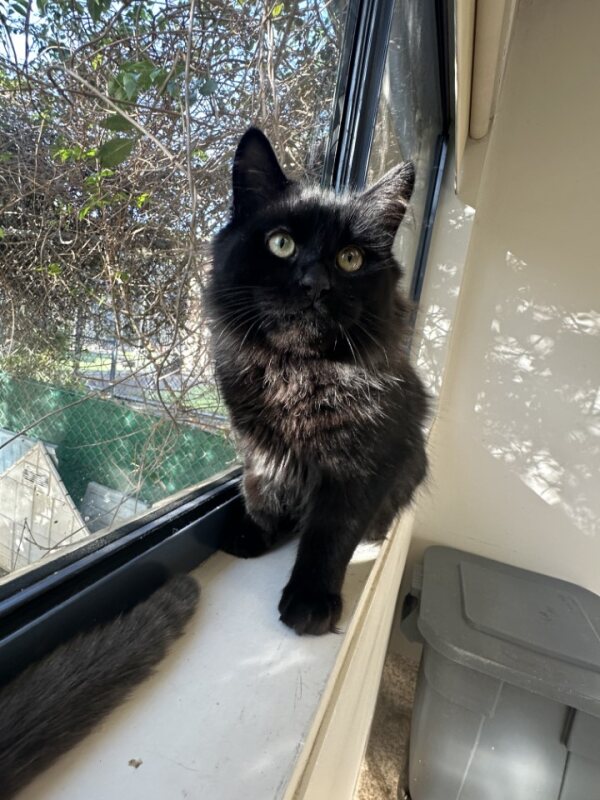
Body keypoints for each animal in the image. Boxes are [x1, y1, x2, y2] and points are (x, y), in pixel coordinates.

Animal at [208, 128, 428, 635]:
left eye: (349, 259)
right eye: (281, 244)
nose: (314, 284)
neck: (298, 372)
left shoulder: (365, 464)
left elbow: (332, 535)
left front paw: (311, 600)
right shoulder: (255, 440)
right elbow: (259, 486)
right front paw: (256, 531)